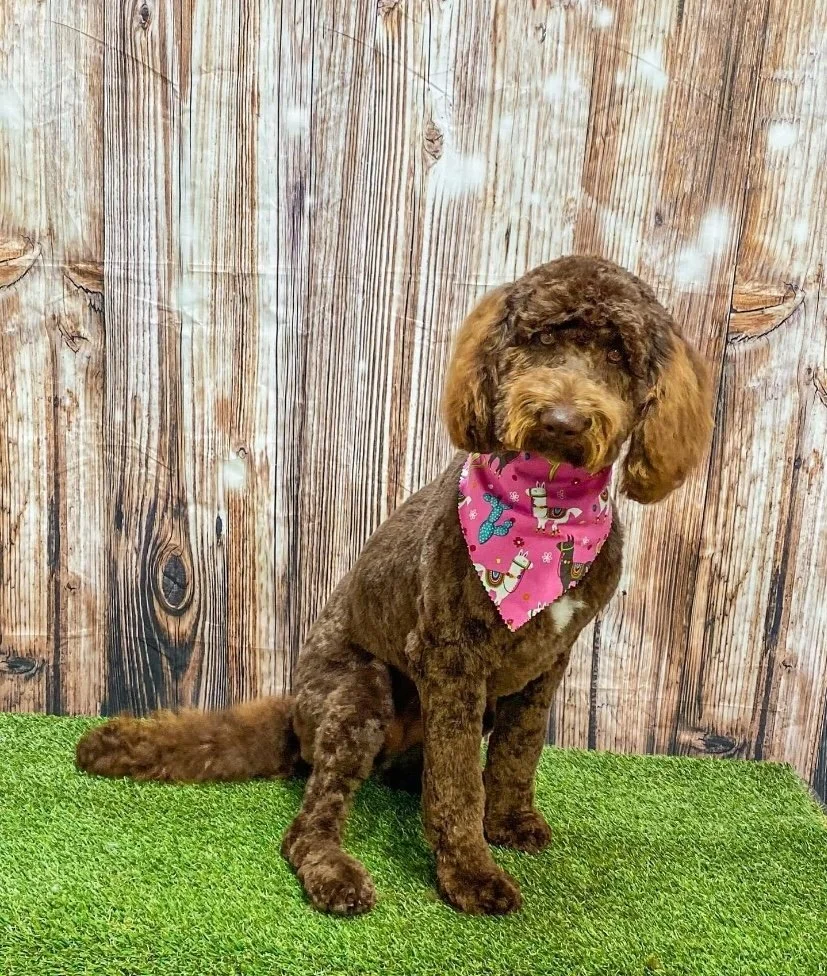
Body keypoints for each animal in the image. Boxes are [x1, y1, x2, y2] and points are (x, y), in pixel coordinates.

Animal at [76, 255, 713, 917]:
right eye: (537, 340)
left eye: (617, 355)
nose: (561, 420)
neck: (545, 515)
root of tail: (294, 712)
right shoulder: (451, 658)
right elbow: (458, 787)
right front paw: (469, 874)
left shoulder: (546, 665)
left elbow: (520, 751)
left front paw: (510, 821)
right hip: (360, 696)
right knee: (312, 821)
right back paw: (335, 871)